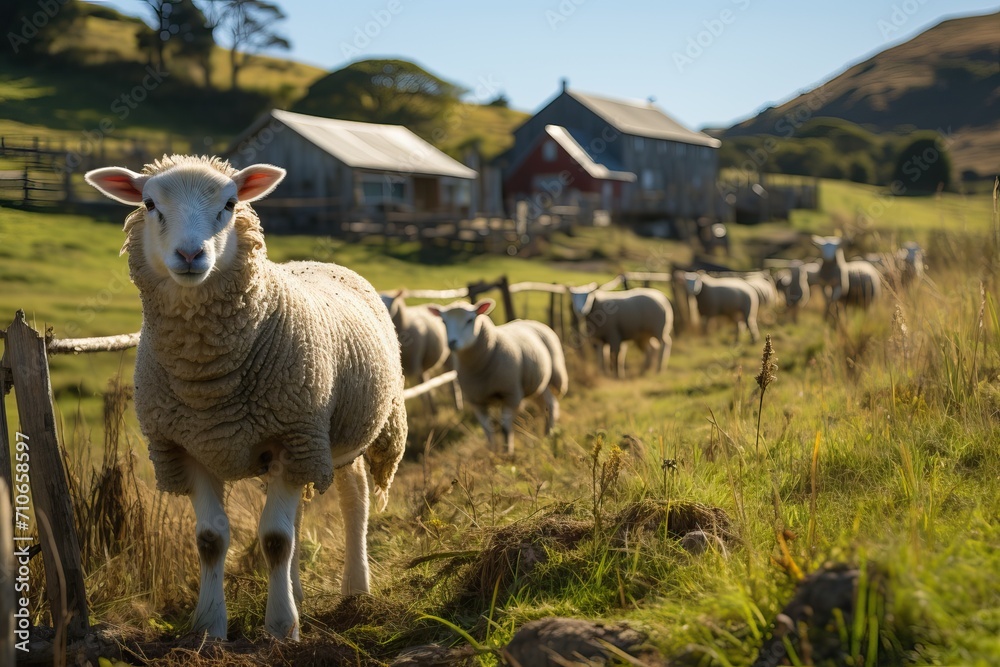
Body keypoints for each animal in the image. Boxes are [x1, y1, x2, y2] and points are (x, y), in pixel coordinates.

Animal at [85, 155, 407, 641]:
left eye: (230, 203)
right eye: (149, 203)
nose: (190, 255)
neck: (207, 380)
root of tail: (316, 260)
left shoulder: (293, 434)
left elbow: (275, 540)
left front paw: (281, 629)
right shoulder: (187, 447)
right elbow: (211, 541)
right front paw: (209, 628)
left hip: (337, 437)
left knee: (355, 501)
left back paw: (355, 589)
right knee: (297, 516)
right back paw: (298, 591)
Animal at [428, 299, 567, 455]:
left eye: (470, 320)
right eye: (444, 321)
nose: (452, 343)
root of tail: (531, 321)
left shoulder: (510, 395)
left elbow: (505, 429)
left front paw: (507, 453)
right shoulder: (477, 401)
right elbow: (488, 431)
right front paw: (492, 452)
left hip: (555, 376)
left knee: (552, 405)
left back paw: (550, 434)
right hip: (537, 384)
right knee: (546, 405)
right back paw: (545, 433)